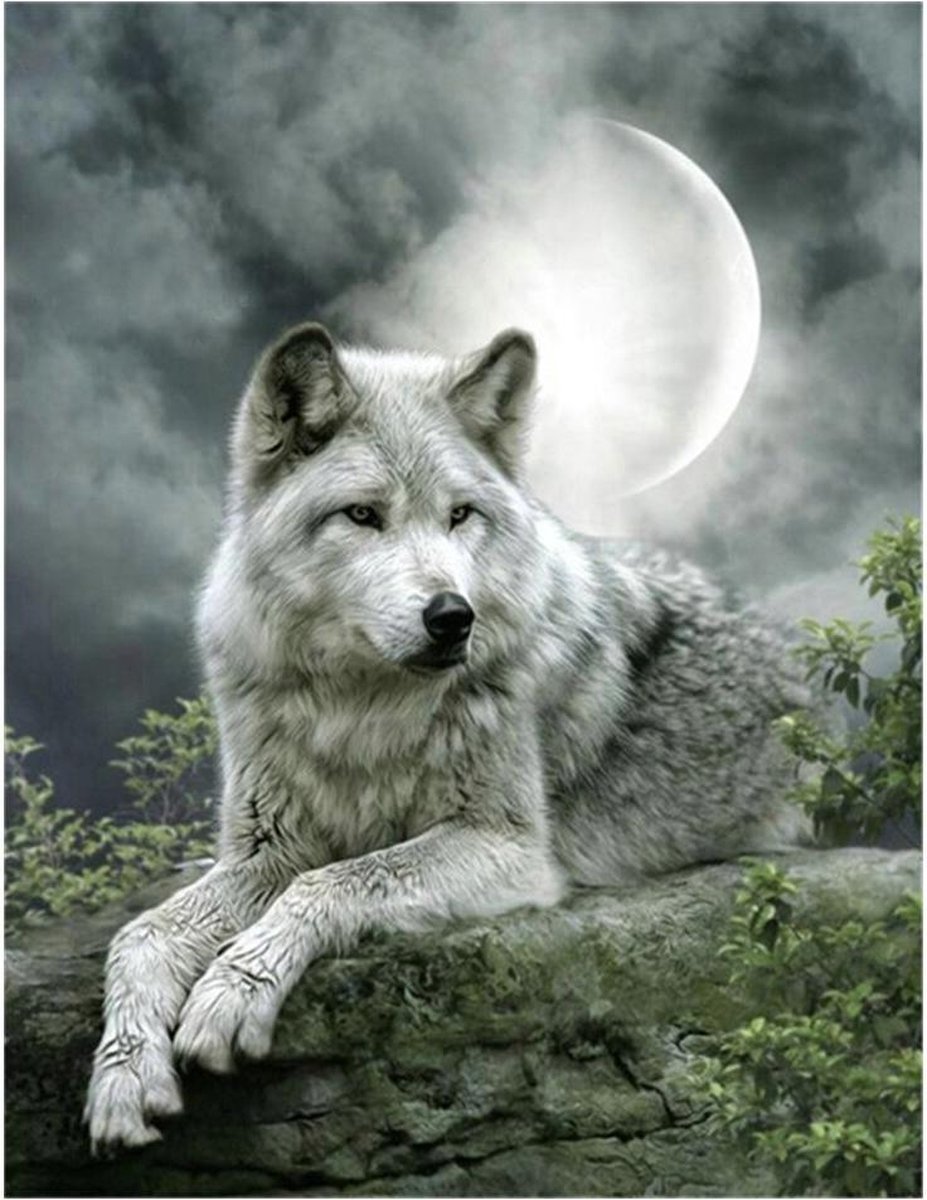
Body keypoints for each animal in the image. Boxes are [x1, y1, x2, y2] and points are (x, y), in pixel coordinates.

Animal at [84, 321, 811, 1152]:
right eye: (362, 515)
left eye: (460, 515)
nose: (452, 617)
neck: (360, 708)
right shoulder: (267, 849)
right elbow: (139, 935)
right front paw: (123, 1077)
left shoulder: (508, 848)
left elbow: (333, 882)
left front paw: (231, 992)